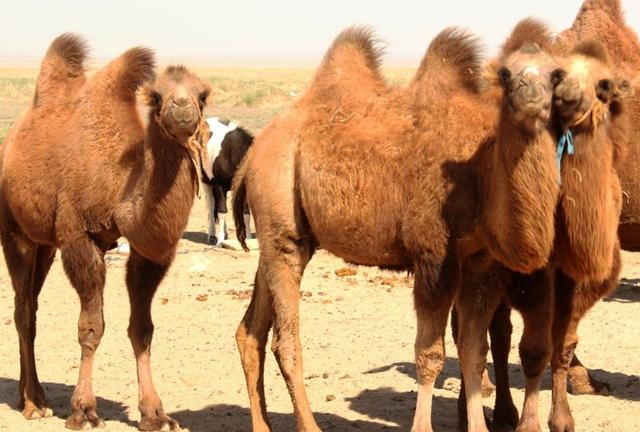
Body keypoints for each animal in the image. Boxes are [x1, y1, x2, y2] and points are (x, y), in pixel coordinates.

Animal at [0, 34, 212, 432]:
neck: (118, 186)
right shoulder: (78, 238)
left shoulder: (148, 253)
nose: (181, 108)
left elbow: (142, 329)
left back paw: (29, 396)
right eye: (156, 96)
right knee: (23, 309)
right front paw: (83, 410)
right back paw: (34, 403)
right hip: (14, 230)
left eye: (202, 94)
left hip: (44, 244)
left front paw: (155, 413)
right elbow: (91, 327)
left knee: (30, 303)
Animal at [200, 116, 252, 245]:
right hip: (206, 183)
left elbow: (246, 214)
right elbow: (222, 212)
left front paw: (249, 238)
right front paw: (220, 240)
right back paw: (212, 235)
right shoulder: (220, 187)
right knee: (211, 205)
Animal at [231, 23, 564, 432]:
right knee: (285, 341)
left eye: (556, 74)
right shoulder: (433, 255)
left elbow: (473, 350)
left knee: (250, 333)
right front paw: (423, 426)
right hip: (281, 213)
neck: (481, 169)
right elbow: (430, 355)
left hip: (284, 236)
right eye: (506, 73)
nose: (531, 93)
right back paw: (309, 424)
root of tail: (254, 152)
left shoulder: (480, 262)